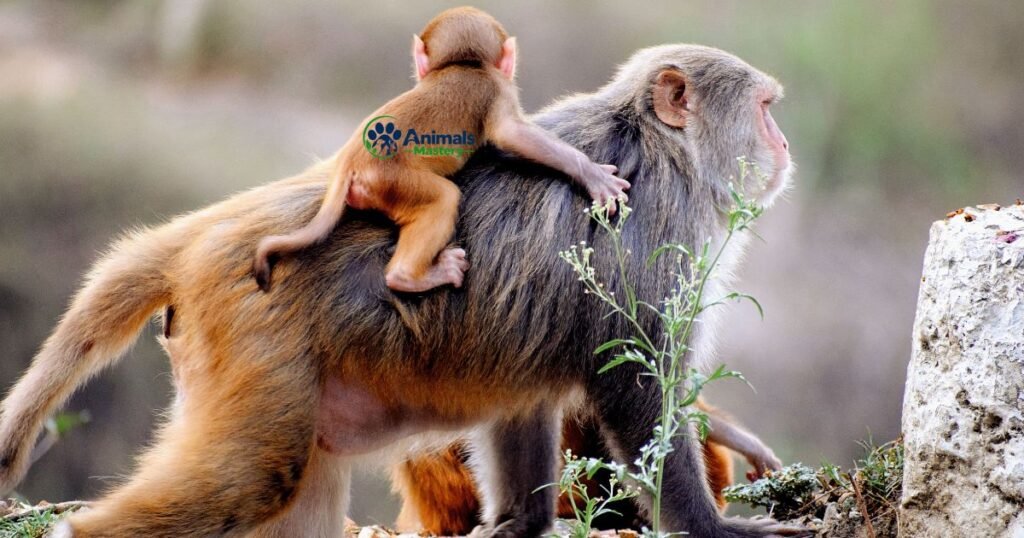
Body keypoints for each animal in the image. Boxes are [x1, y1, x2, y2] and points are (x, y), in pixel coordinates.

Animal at [252, 7, 629, 293]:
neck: (464, 65)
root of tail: (351, 162)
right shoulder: (497, 89)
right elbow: (512, 134)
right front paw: (590, 173)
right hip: (393, 181)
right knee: (443, 198)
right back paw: (409, 277)